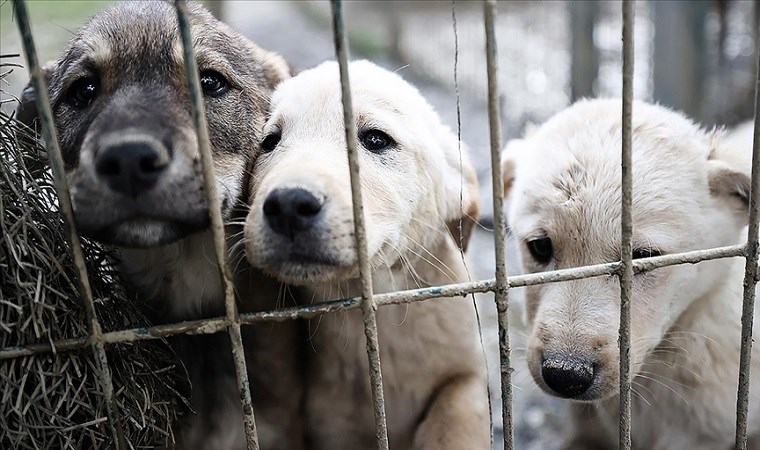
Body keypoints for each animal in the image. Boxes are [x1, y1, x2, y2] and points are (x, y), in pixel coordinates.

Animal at [245, 60, 492, 450]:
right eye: (269, 142)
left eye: (376, 139)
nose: (287, 205)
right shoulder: (331, 425)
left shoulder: (469, 372)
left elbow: (457, 413)